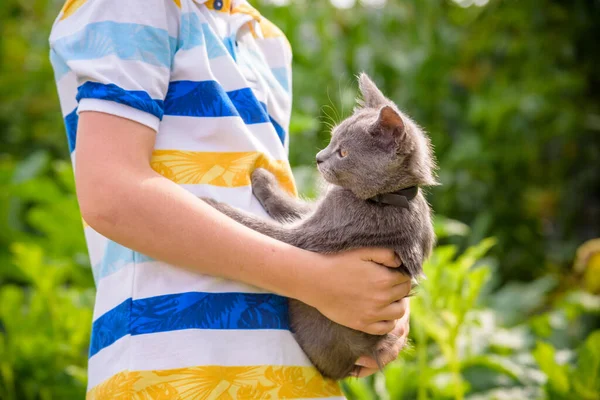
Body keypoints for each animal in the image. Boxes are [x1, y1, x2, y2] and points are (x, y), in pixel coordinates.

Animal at [202, 73, 436, 380]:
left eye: (344, 152)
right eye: (332, 138)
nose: (318, 157)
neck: (387, 199)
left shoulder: (316, 235)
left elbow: (261, 227)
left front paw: (211, 204)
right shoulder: (317, 213)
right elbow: (290, 207)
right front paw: (263, 178)